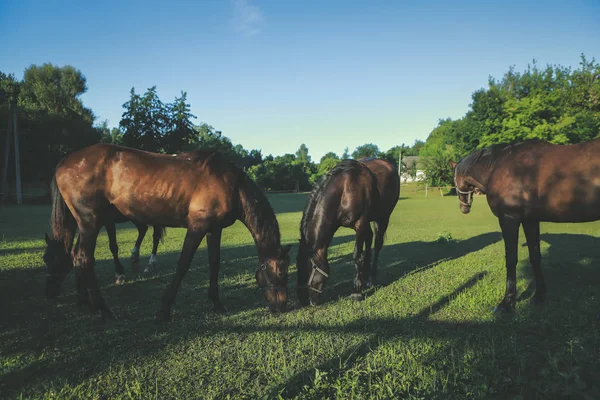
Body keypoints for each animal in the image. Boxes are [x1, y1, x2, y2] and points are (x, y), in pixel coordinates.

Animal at [43, 142, 292, 320]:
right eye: (281, 272)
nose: (281, 306)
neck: (232, 185)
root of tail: (65, 161)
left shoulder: (214, 230)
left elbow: (215, 264)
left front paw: (217, 302)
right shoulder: (197, 227)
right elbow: (183, 265)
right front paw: (164, 309)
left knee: (76, 256)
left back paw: (85, 302)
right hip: (90, 222)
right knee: (83, 258)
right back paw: (102, 308)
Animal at [296, 158, 398, 304]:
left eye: (311, 267)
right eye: (297, 266)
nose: (303, 299)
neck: (344, 190)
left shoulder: (360, 224)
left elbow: (356, 255)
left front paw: (356, 292)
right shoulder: (361, 225)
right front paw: (360, 281)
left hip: (383, 217)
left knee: (377, 244)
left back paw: (371, 277)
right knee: (369, 239)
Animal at [450, 138, 600, 312]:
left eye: (453, 180)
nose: (464, 208)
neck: (497, 164)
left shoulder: (509, 219)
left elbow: (511, 259)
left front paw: (507, 302)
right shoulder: (530, 220)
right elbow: (535, 257)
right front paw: (539, 295)